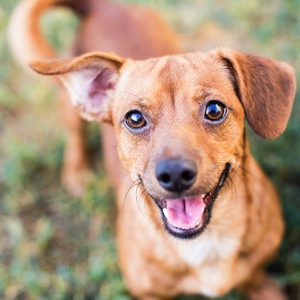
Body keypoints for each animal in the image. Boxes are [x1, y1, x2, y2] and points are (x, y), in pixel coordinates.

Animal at [9, 0, 298, 300]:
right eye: (135, 119)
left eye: (214, 110)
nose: (175, 174)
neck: (205, 244)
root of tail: (104, 7)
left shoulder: (258, 278)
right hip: (71, 111)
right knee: (75, 136)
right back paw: (77, 173)